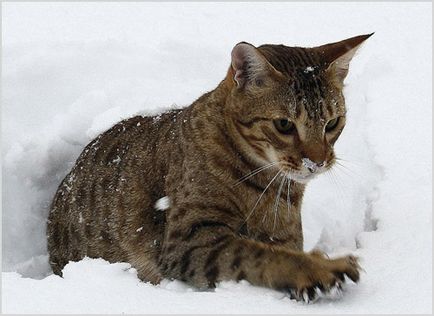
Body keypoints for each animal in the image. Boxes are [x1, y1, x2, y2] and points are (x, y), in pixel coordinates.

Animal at [48, 33, 372, 302]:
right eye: (284, 124)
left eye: (333, 123)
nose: (317, 162)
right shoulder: (188, 240)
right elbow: (257, 254)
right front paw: (318, 268)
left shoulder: (284, 235)